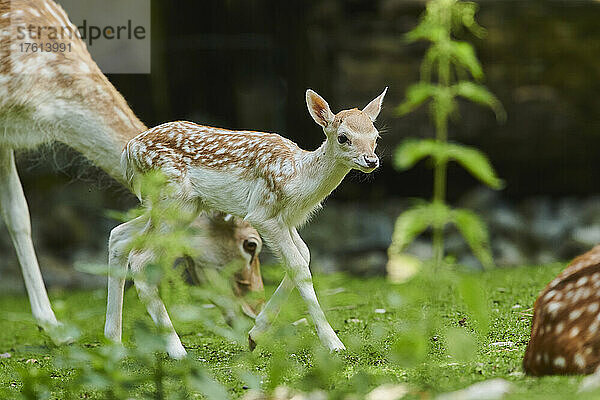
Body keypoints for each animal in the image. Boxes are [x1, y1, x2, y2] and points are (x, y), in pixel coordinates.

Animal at [106, 86, 390, 356]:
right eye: (343, 137)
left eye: (376, 136)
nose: (371, 160)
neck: (298, 180)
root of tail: (127, 152)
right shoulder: (263, 214)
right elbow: (299, 267)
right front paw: (334, 344)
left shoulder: (287, 221)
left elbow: (304, 257)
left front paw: (254, 335)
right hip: (175, 200)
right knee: (141, 258)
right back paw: (177, 351)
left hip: (174, 207)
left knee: (119, 235)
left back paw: (114, 342)